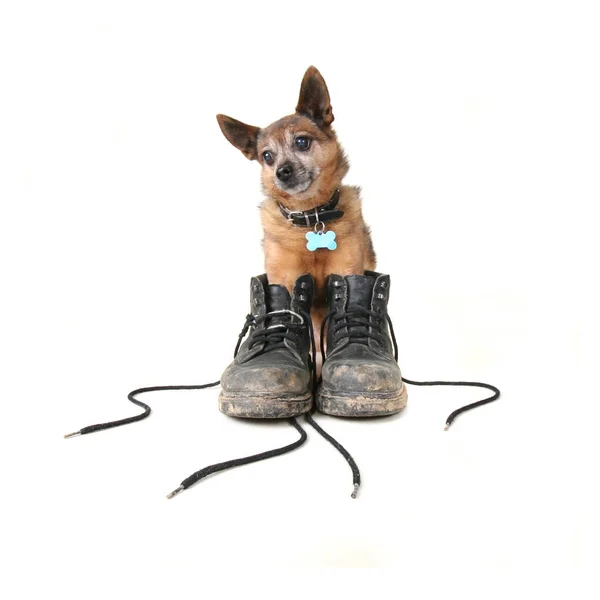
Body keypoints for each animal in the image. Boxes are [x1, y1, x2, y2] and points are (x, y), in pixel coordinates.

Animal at [216, 67, 376, 352]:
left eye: (302, 142)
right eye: (267, 156)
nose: (282, 172)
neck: (311, 218)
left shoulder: (347, 271)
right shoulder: (285, 278)